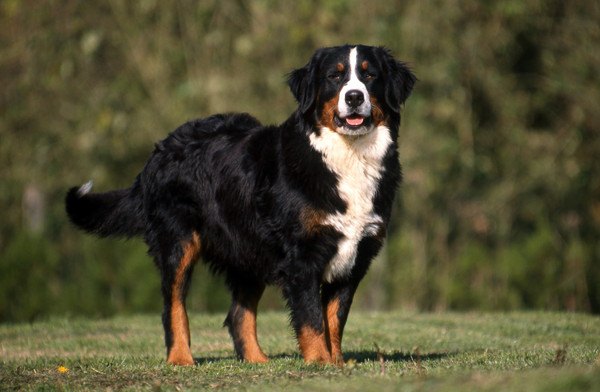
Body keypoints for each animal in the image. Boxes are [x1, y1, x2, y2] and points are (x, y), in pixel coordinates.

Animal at [64, 44, 412, 366]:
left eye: (369, 75)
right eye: (334, 76)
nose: (353, 97)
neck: (348, 156)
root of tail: (161, 149)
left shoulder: (356, 255)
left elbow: (334, 319)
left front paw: (337, 363)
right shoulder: (302, 256)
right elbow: (312, 319)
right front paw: (320, 362)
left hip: (249, 250)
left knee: (238, 314)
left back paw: (257, 361)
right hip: (179, 242)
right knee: (173, 306)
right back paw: (180, 359)